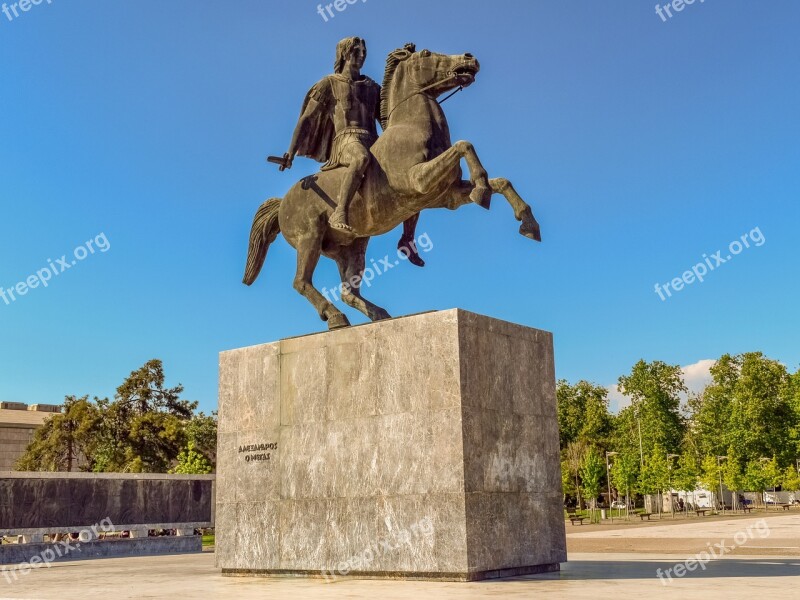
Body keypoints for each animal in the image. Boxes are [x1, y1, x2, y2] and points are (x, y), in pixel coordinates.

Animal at [242, 44, 544, 330]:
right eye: (426, 53)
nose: (469, 58)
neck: (412, 126)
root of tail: (282, 202)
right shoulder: (417, 180)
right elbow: (464, 145)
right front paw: (483, 191)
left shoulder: (445, 196)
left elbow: (500, 181)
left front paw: (527, 222)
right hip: (310, 238)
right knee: (302, 282)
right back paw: (335, 317)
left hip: (351, 247)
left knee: (348, 291)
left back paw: (379, 313)